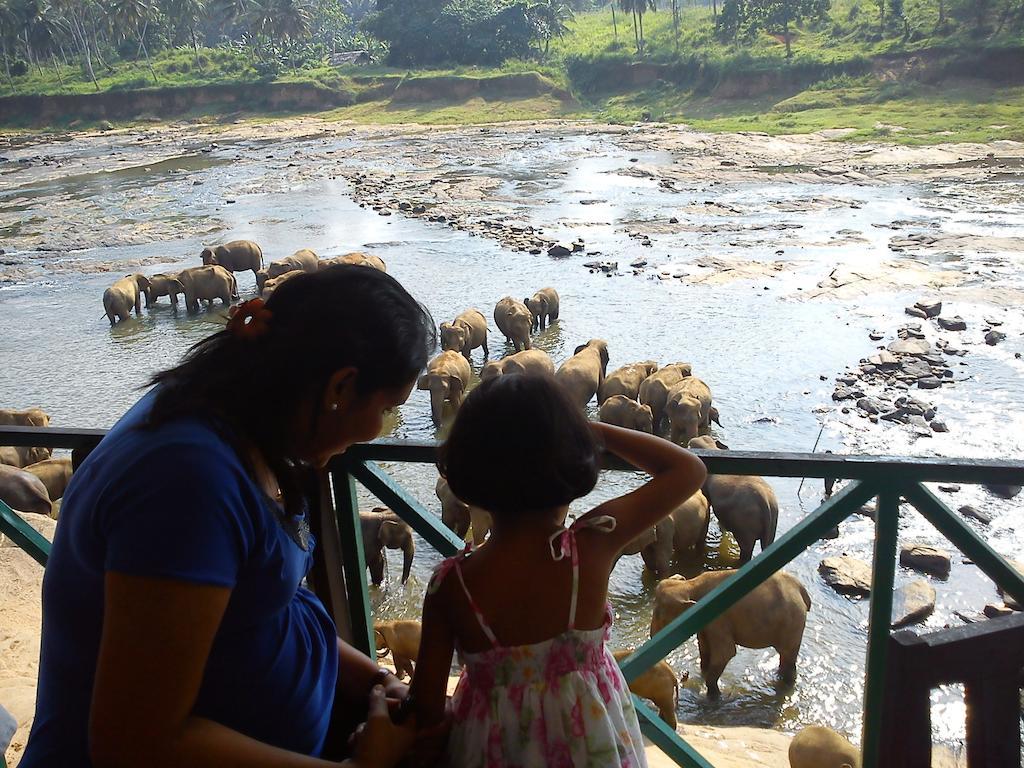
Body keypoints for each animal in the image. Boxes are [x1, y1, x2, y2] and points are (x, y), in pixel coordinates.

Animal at [651, 569, 811, 700]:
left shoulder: (718, 619)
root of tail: (802, 589)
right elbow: (704, 649)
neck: (691, 584)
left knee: (787, 656)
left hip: (792, 623)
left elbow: (725, 653)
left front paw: (714, 697)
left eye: (660, 615)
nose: (652, 637)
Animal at [688, 436, 774, 569]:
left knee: (746, 550)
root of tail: (765, 501)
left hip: (745, 523)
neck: (710, 447)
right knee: (767, 545)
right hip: (772, 522)